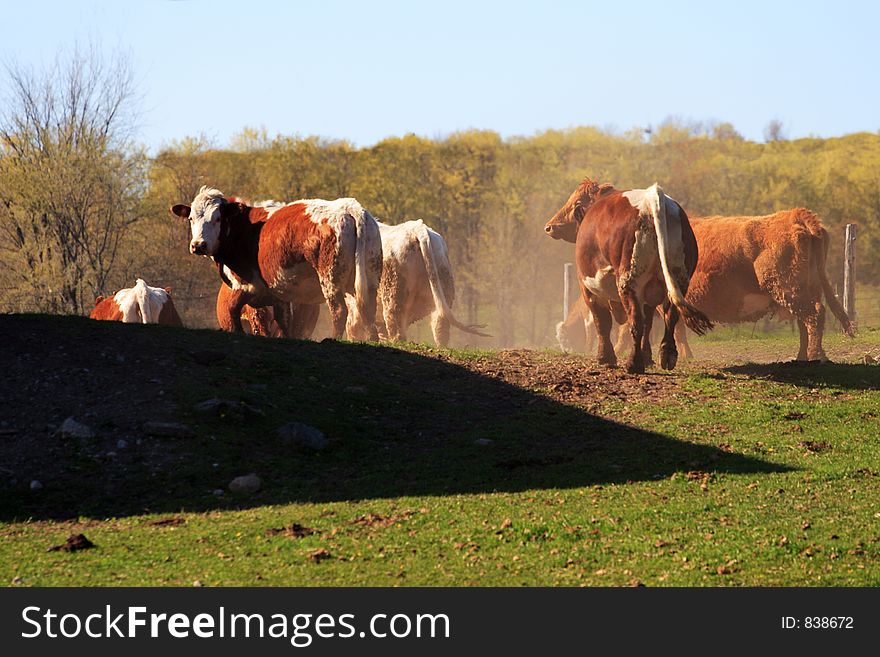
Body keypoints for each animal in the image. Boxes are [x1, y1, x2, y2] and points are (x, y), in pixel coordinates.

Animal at [170, 184, 380, 338]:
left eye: (217, 218)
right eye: (190, 218)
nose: (198, 245)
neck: (243, 228)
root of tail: (348, 208)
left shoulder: (245, 286)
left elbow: (233, 313)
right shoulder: (279, 295)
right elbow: (283, 321)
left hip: (330, 280)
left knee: (339, 311)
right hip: (369, 282)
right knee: (368, 312)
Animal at [548, 179, 712, 374]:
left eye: (575, 201)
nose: (550, 226)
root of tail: (652, 197)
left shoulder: (588, 288)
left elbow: (602, 322)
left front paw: (605, 357)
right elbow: (648, 324)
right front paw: (647, 357)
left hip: (629, 283)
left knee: (636, 321)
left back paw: (634, 363)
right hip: (678, 280)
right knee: (670, 316)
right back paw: (667, 355)